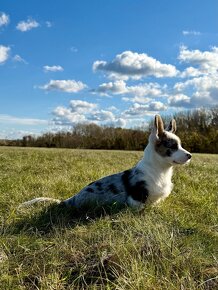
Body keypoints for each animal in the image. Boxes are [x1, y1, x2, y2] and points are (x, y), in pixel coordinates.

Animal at [20, 115, 191, 211]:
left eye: (180, 145)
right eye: (172, 146)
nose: (190, 156)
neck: (161, 171)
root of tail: (69, 200)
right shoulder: (136, 200)